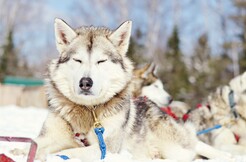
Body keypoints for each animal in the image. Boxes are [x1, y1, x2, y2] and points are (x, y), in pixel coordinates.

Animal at [13, 19, 233, 162]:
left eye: (101, 61)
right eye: (78, 60)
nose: (86, 82)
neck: (88, 112)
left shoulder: (106, 149)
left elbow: (70, 153)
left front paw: (51, 156)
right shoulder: (48, 137)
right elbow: (32, 144)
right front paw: (19, 151)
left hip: (176, 148)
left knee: (194, 147)